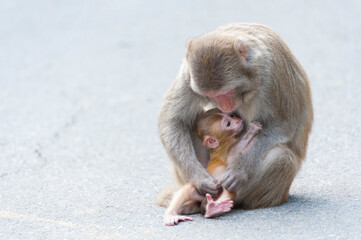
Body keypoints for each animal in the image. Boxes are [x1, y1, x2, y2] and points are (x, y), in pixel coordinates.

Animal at [158, 22, 312, 210]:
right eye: (210, 95)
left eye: (228, 92)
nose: (224, 107)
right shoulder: (188, 73)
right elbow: (173, 121)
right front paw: (199, 178)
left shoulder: (274, 72)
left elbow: (283, 125)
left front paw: (241, 169)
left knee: (281, 157)